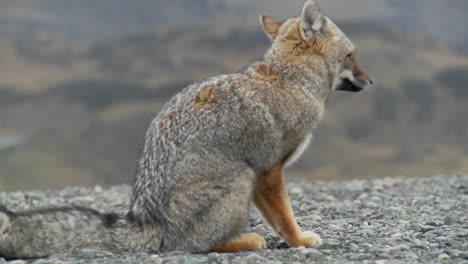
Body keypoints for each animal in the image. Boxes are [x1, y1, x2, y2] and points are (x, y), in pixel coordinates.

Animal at [0, 0, 372, 258]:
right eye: (352, 55)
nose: (371, 82)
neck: (288, 79)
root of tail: (147, 220)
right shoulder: (268, 169)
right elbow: (284, 216)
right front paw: (298, 240)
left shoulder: (265, 175)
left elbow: (275, 216)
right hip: (240, 177)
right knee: (193, 245)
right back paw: (247, 240)